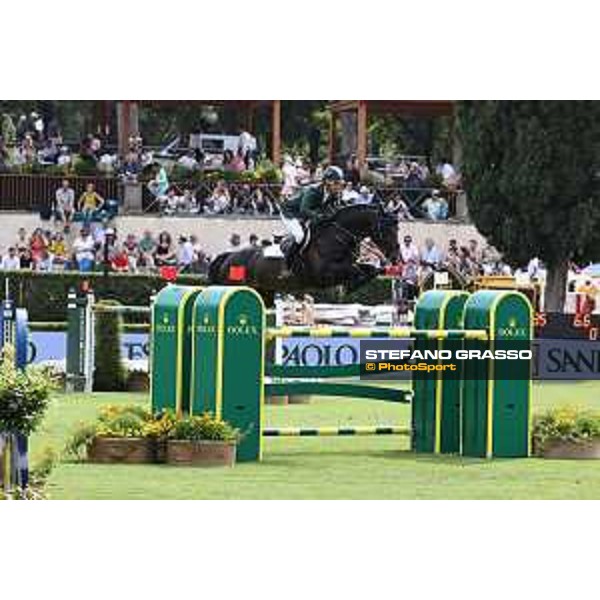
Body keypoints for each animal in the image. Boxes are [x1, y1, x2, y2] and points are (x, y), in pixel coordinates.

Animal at [209, 205, 400, 296]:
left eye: (397, 228)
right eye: (387, 229)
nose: (396, 256)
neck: (337, 236)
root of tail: (229, 256)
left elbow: (371, 269)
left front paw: (353, 286)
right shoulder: (324, 275)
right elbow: (357, 270)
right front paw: (348, 287)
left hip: (264, 290)